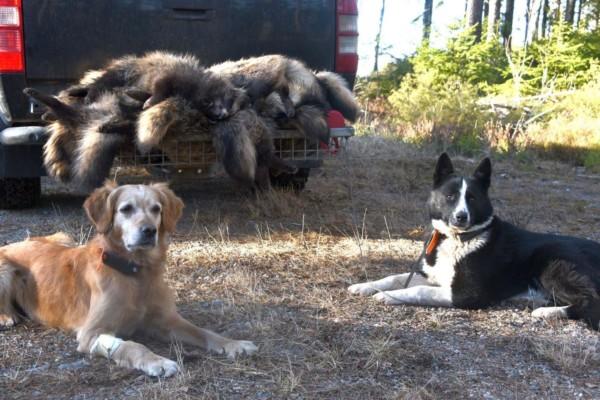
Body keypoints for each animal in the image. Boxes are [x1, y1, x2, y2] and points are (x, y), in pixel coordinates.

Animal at [0, 183, 255, 376]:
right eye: (126, 209)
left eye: (156, 209)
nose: (149, 230)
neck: (136, 274)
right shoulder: (91, 333)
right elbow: (133, 346)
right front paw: (158, 361)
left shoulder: (167, 321)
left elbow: (204, 332)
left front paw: (233, 343)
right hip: (6, 268)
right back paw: (7, 316)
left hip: (64, 238)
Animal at [346, 152, 600, 330]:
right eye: (450, 196)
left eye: (472, 198)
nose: (461, 216)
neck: (459, 238)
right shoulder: (435, 275)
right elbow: (395, 278)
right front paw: (365, 286)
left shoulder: (465, 293)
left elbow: (418, 290)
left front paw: (388, 296)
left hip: (553, 261)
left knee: (591, 302)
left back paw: (549, 313)